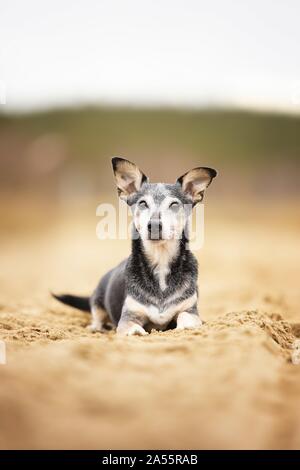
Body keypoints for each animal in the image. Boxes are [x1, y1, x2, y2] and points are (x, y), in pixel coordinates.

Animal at [52, 158, 217, 334]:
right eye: (143, 203)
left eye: (174, 204)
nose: (154, 225)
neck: (161, 261)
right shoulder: (129, 316)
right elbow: (134, 329)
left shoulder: (190, 310)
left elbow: (186, 319)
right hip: (97, 300)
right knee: (97, 317)